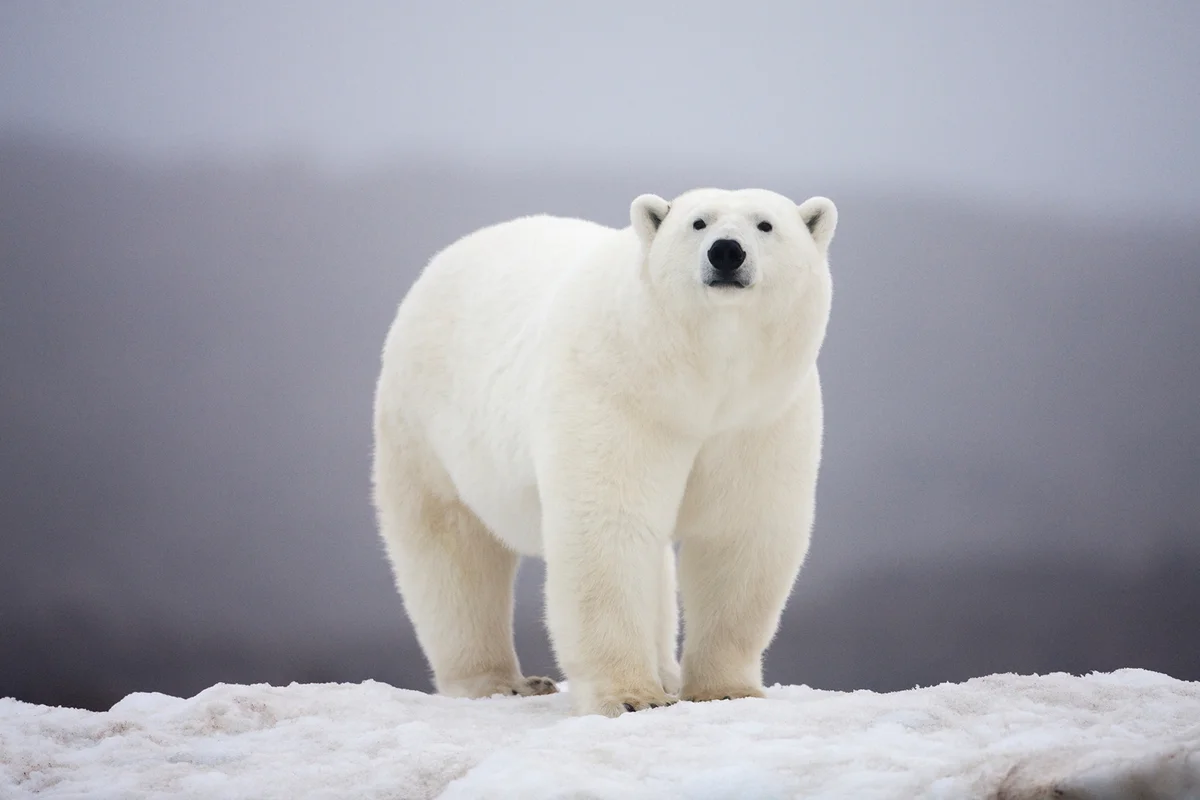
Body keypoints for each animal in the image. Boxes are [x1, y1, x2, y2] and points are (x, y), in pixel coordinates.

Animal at [372, 188, 836, 717]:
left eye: (765, 225)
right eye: (698, 223)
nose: (726, 252)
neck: (700, 381)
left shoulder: (760, 416)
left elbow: (738, 532)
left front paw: (725, 689)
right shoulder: (618, 389)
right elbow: (610, 525)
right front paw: (631, 697)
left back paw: (665, 672)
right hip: (425, 422)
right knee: (451, 547)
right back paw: (501, 681)